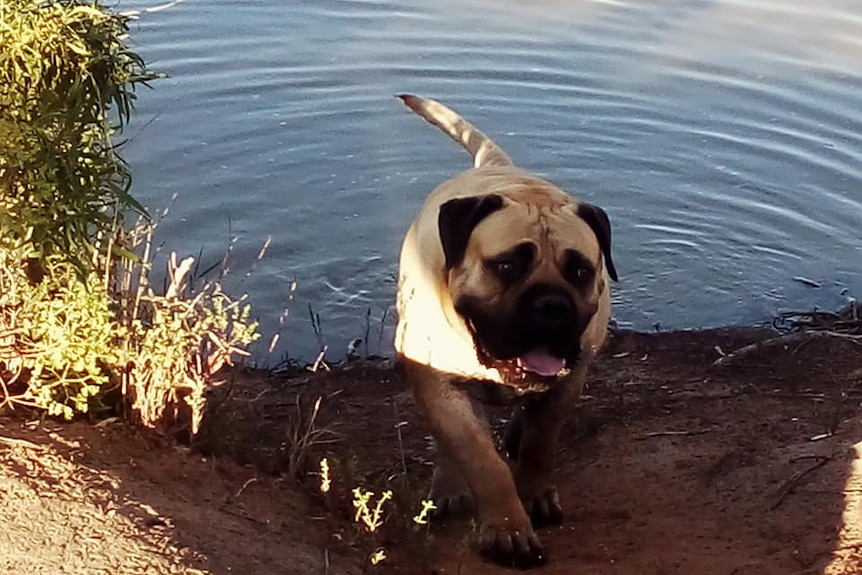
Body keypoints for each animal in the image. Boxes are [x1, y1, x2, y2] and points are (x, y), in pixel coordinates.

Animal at [394, 93, 616, 568]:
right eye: (508, 265)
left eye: (581, 271)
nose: (552, 305)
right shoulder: (437, 382)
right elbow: (480, 457)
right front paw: (507, 530)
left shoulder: (570, 379)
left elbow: (540, 442)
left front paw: (534, 495)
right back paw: (449, 486)